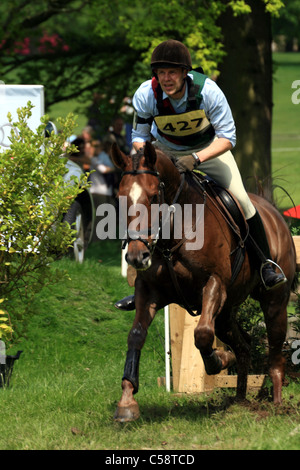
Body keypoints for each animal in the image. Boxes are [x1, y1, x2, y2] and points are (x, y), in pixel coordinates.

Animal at [110, 140, 298, 422]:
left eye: (153, 197)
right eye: (121, 199)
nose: (136, 256)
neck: (174, 232)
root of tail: (274, 213)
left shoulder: (214, 284)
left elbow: (201, 334)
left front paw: (218, 361)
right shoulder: (149, 290)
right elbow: (136, 336)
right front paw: (127, 403)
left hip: (274, 301)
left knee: (275, 351)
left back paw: (275, 405)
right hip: (227, 311)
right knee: (243, 345)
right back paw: (239, 400)